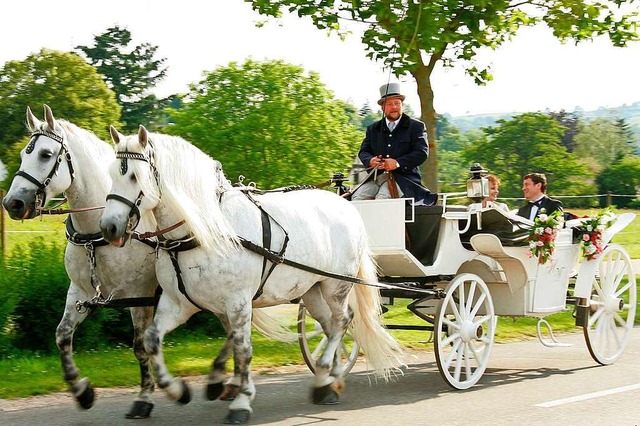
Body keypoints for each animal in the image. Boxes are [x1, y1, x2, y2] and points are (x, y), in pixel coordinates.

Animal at [100, 125, 404, 424]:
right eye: (111, 174)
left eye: (134, 176)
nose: (109, 227)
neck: (205, 232)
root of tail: (347, 205)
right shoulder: (178, 303)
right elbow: (152, 340)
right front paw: (177, 390)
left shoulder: (237, 302)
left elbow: (243, 349)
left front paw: (242, 400)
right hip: (312, 290)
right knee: (331, 327)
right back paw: (331, 381)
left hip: (335, 285)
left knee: (342, 321)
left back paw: (324, 376)